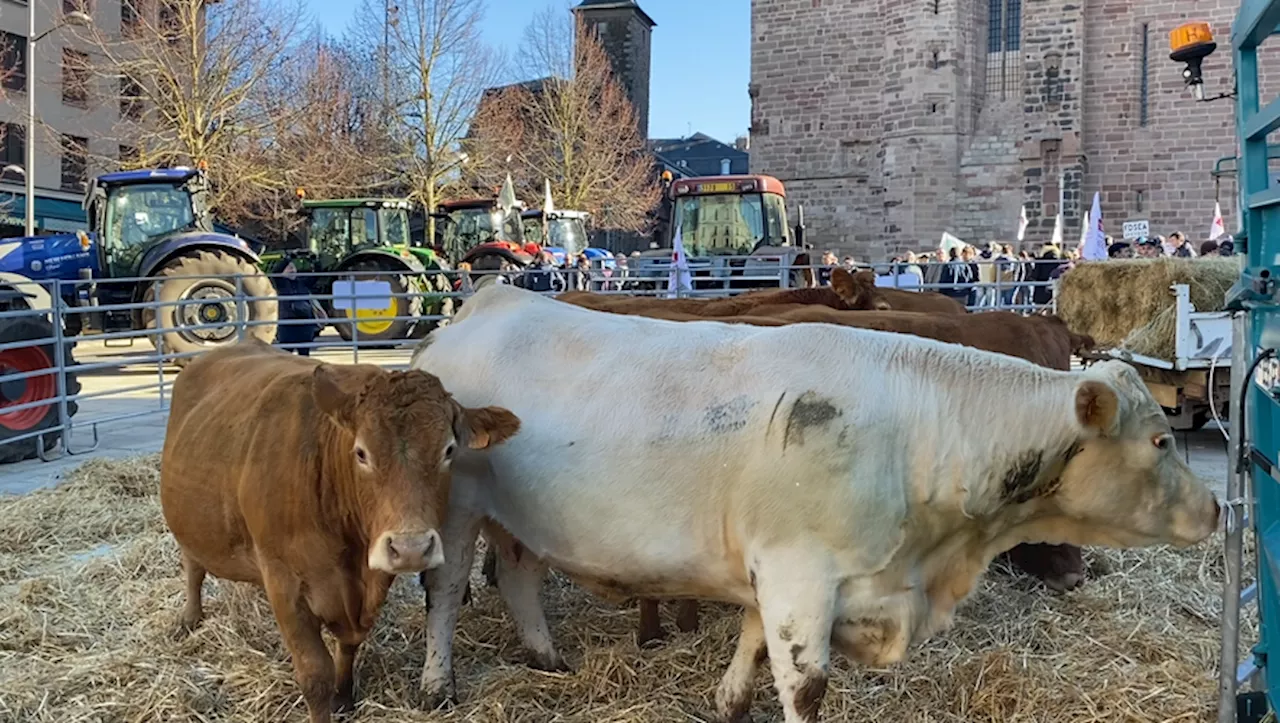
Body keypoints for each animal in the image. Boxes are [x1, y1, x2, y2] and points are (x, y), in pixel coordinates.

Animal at [160, 340, 519, 721]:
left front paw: (343, 696)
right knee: (193, 565)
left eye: (448, 450)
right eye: (361, 453)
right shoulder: (284, 584)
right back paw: (190, 618)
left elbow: (348, 646)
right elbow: (314, 675)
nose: (410, 548)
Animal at [414, 281, 1223, 721]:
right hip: (455, 509)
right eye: (1159, 441)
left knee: (519, 573)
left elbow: (746, 649)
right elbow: (804, 688)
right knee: (447, 591)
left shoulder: (774, 575)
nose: (1218, 510)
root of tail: (491, 301)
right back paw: (436, 683)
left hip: (519, 513)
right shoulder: (799, 577)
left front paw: (726, 704)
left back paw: (546, 657)